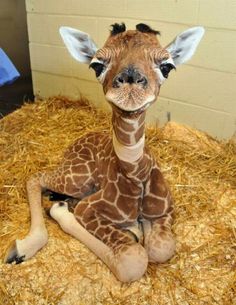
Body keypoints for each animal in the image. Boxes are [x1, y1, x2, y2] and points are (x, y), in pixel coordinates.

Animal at [6, 22, 205, 282]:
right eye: (97, 65)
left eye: (167, 66)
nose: (130, 83)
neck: (136, 174)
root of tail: (76, 143)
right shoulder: (88, 209)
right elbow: (133, 260)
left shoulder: (166, 210)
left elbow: (160, 247)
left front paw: (139, 228)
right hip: (77, 178)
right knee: (35, 177)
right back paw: (23, 246)